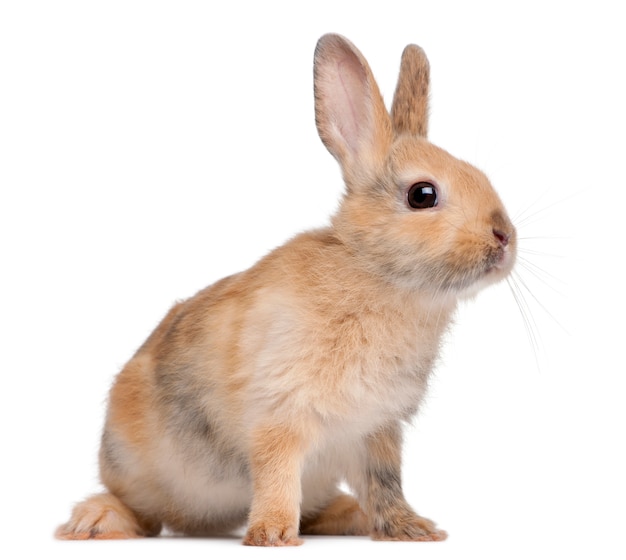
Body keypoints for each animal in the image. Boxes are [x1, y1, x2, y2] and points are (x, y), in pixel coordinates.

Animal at [54, 34, 512, 548]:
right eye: (422, 195)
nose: (504, 237)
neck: (374, 273)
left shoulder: (377, 430)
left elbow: (385, 483)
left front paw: (412, 530)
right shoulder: (280, 413)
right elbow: (277, 474)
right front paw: (272, 535)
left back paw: (350, 516)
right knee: (141, 511)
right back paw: (95, 521)